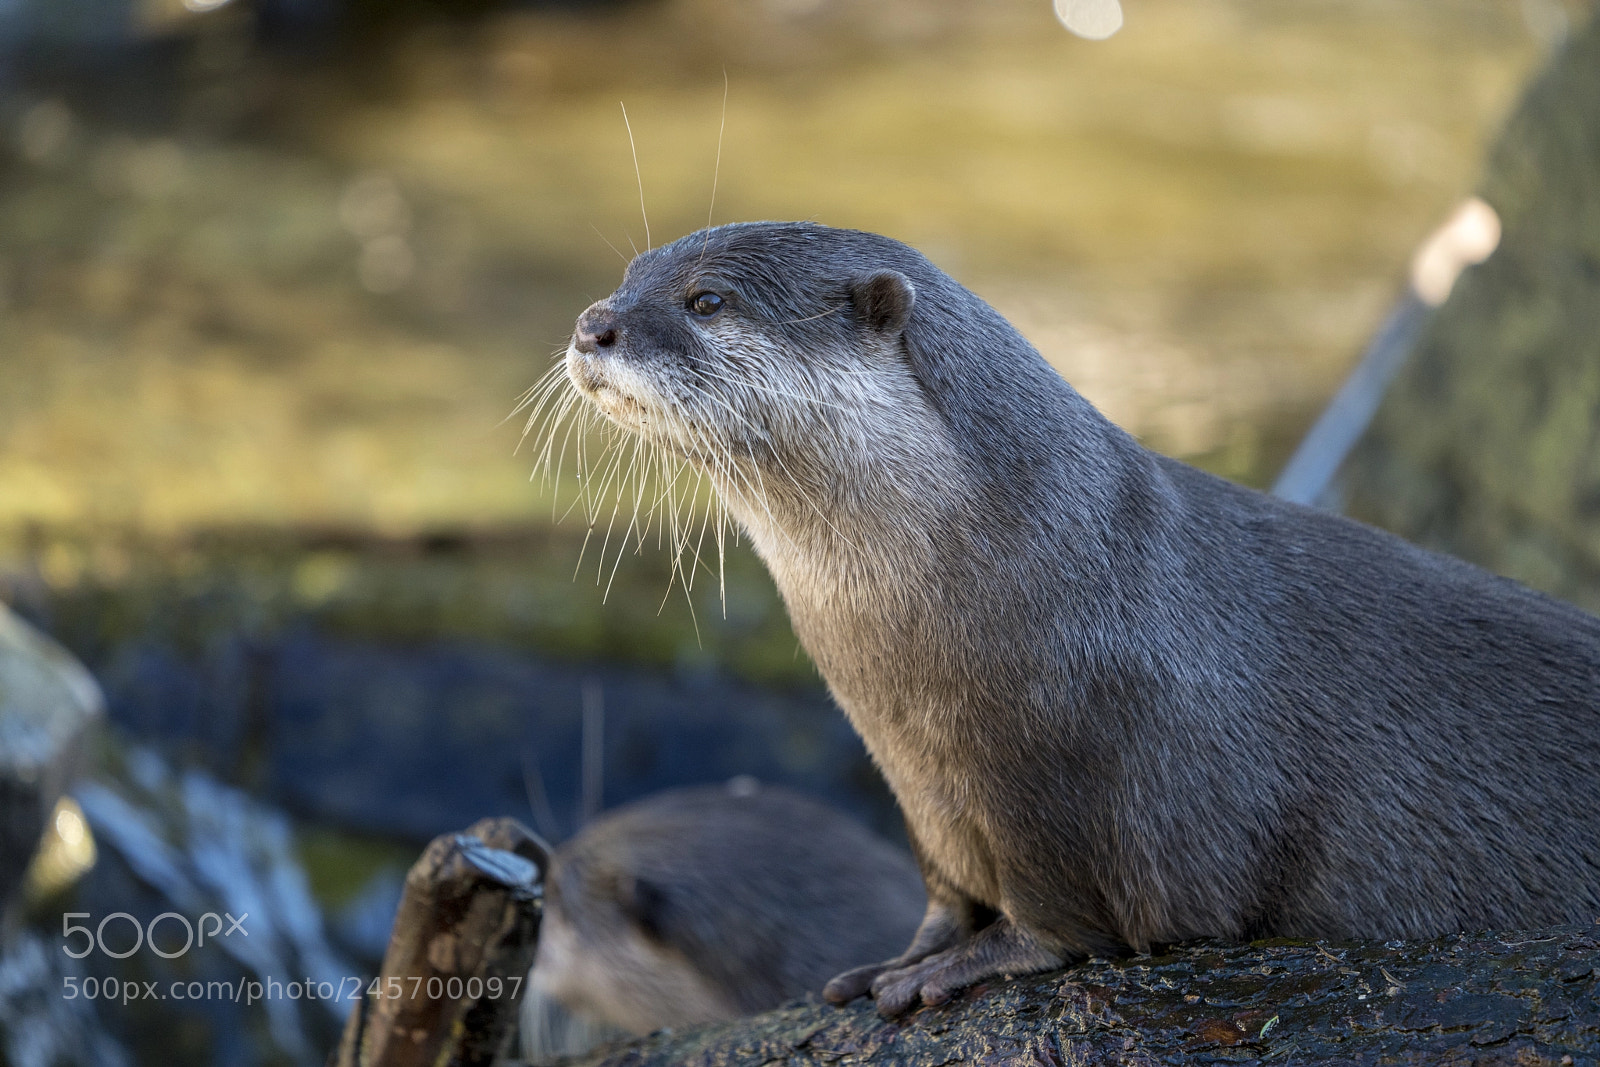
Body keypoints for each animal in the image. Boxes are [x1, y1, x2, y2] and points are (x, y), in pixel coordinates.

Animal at [556, 221, 1600, 1017]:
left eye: (707, 301)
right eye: (629, 275)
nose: (593, 322)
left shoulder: (1067, 789)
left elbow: (1064, 916)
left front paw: (964, 966)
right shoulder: (924, 789)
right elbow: (944, 889)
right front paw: (898, 959)